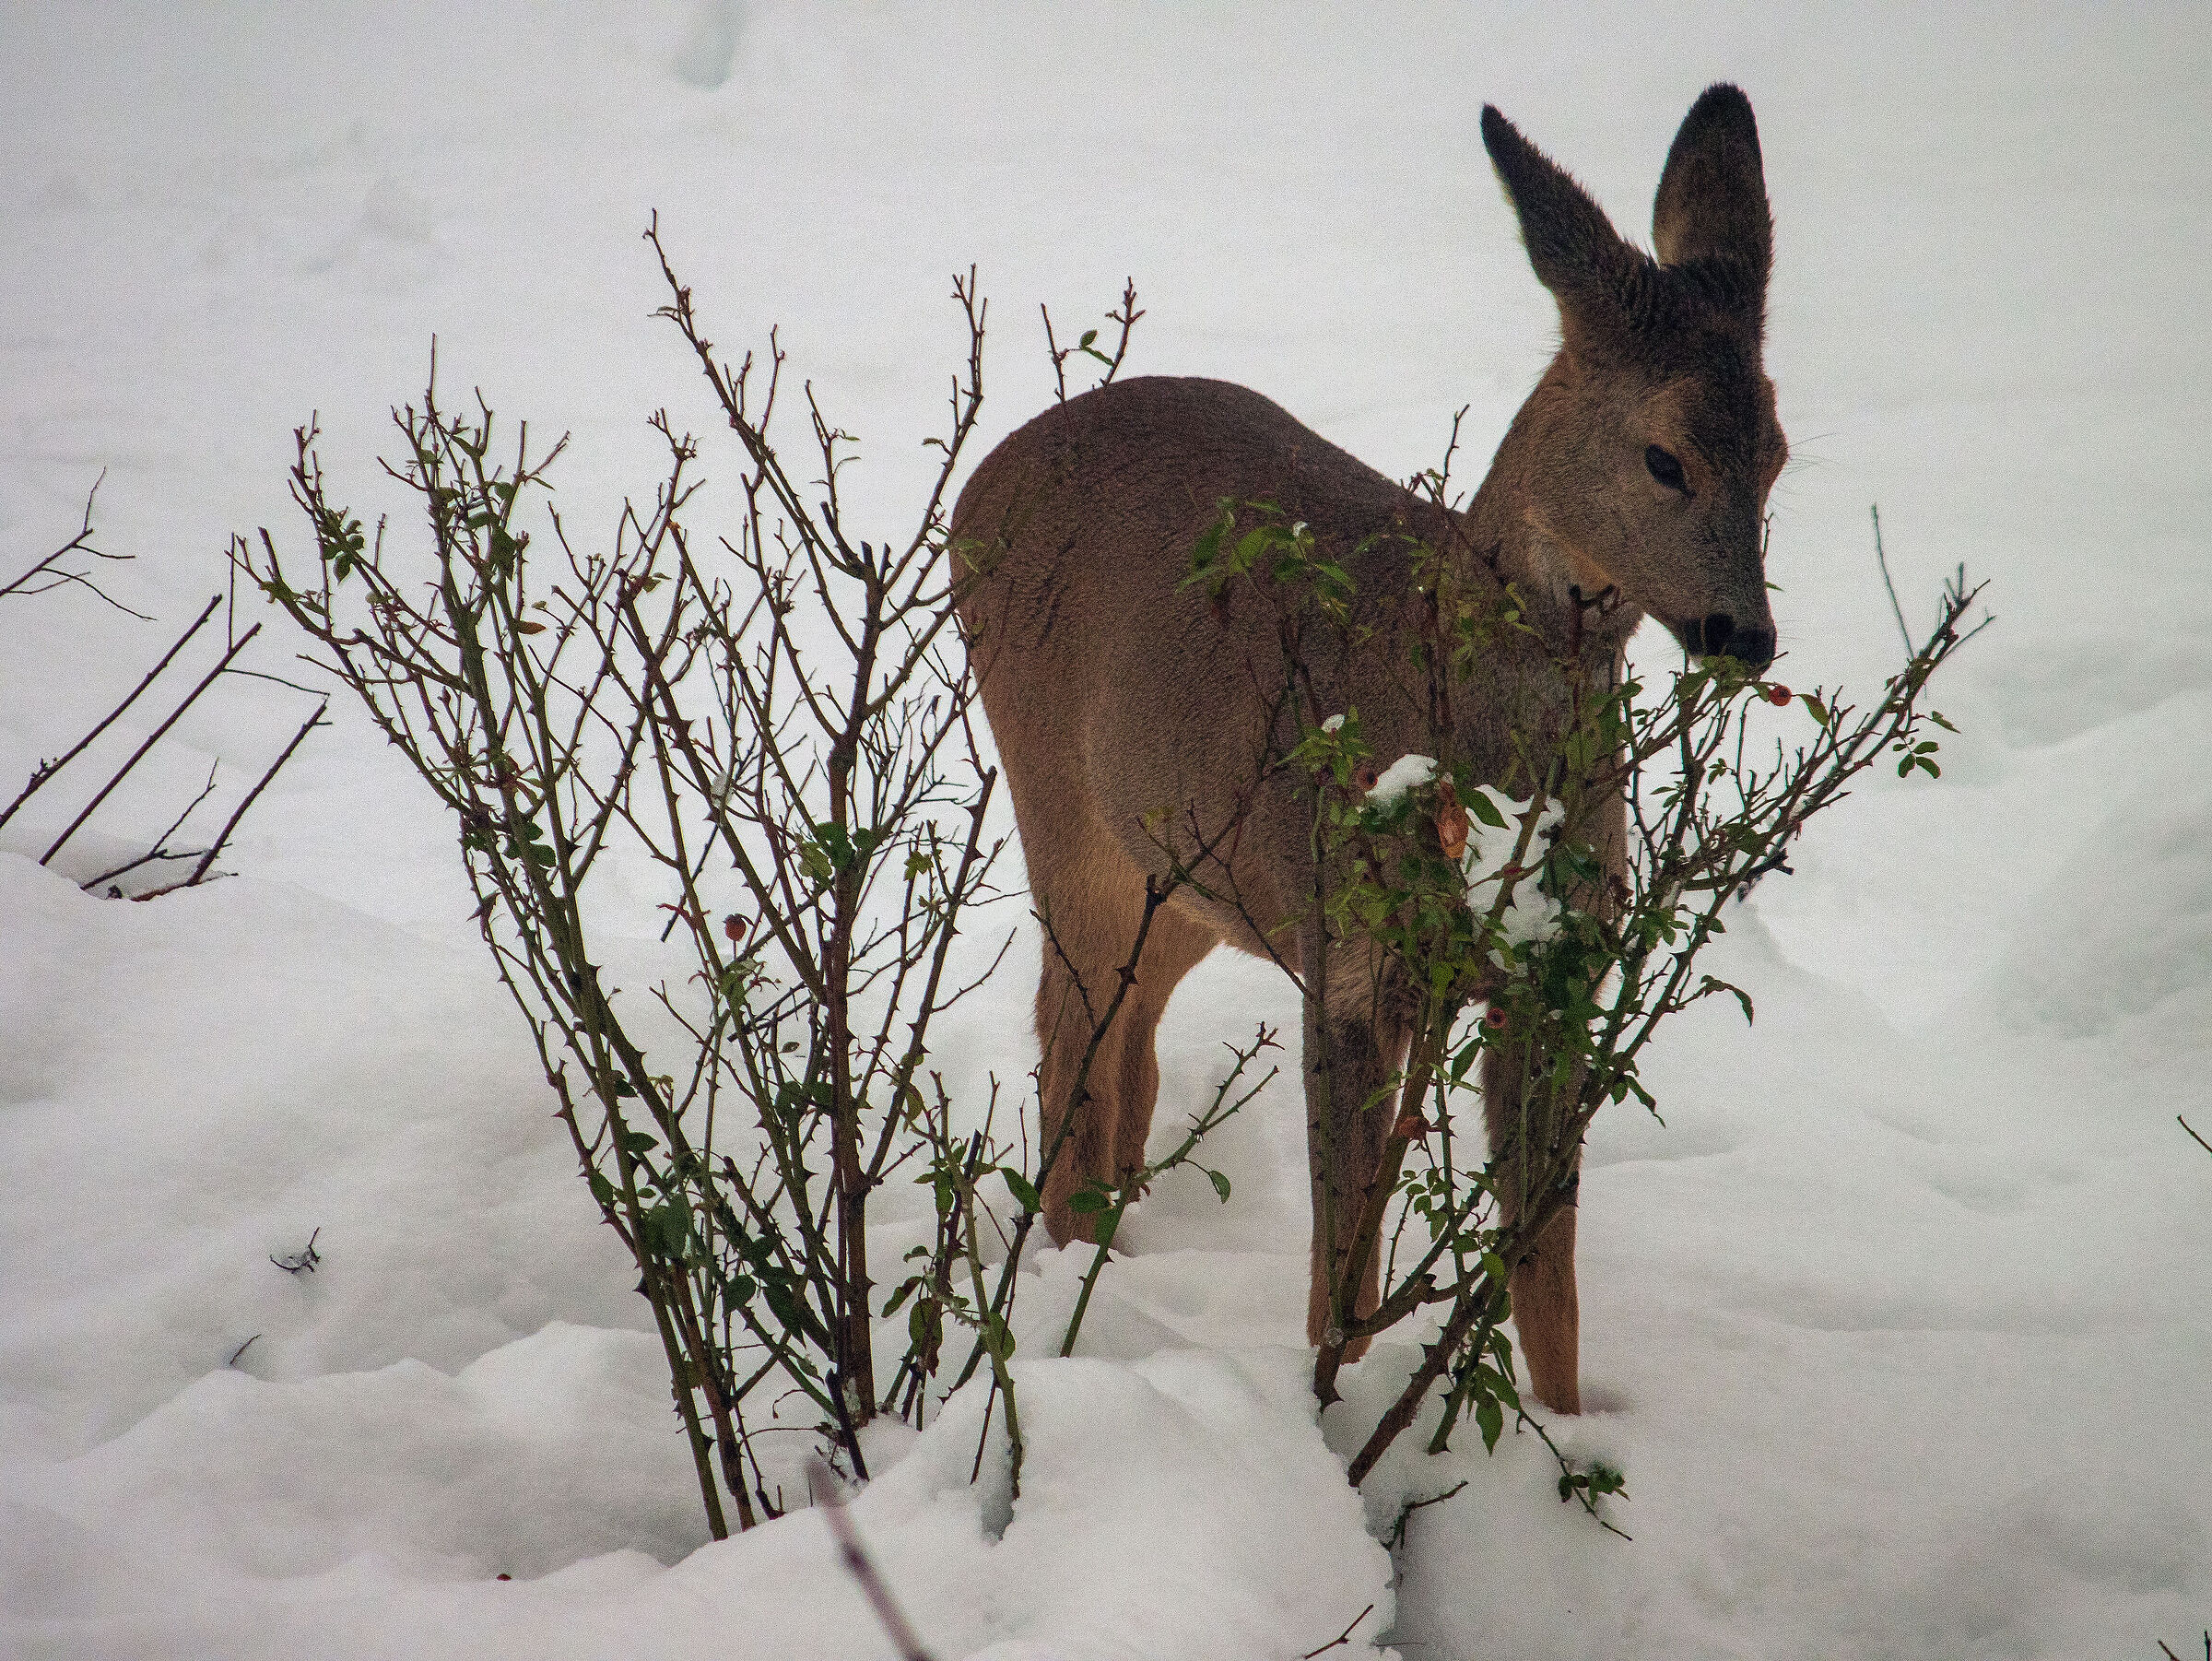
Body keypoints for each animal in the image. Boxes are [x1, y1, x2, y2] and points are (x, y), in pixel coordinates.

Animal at [951, 85, 1786, 1415]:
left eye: (1778, 452)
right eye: (1666, 455)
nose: (1745, 634)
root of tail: (980, 482)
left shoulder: (1559, 969)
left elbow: (1545, 1274)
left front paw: (1567, 1440)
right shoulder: (1350, 956)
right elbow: (1338, 1277)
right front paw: (1327, 1423)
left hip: (1196, 869)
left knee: (1123, 1041)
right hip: (1064, 803)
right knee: (1068, 1043)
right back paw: (1072, 1289)